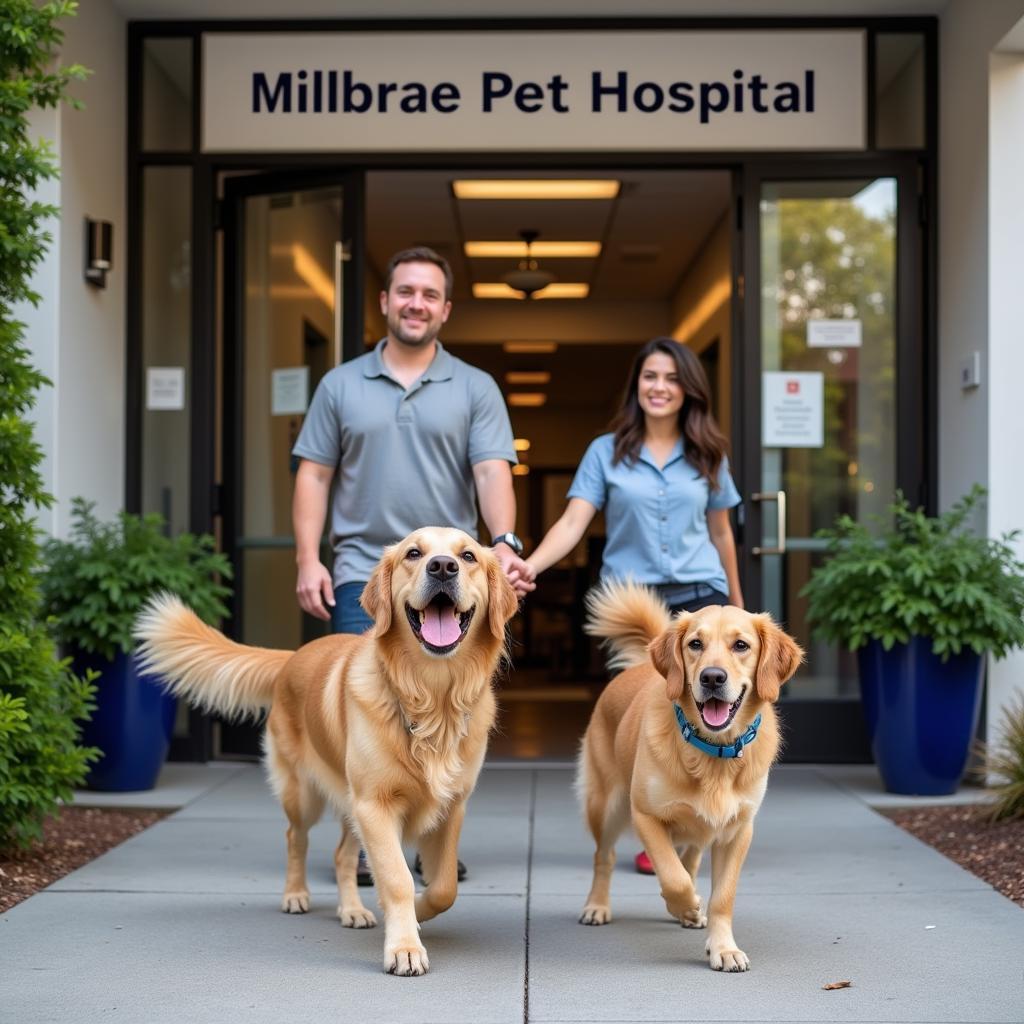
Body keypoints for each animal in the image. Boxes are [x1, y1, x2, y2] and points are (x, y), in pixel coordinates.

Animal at [134, 528, 520, 974]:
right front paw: (404, 946)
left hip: (351, 804)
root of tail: (292, 656)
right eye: (414, 553)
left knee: (341, 856)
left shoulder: (450, 805)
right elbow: (397, 878)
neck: (431, 696)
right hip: (305, 795)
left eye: (468, 556)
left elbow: (444, 886)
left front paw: (420, 911)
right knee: (294, 837)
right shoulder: (375, 804)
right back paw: (295, 895)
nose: (443, 567)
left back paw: (352, 910)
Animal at [577, 581, 798, 970]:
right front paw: (686, 904)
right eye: (695, 643)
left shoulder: (738, 831)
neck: (713, 752)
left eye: (741, 645)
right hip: (606, 806)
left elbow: (721, 895)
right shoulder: (645, 816)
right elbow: (672, 875)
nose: (712, 677)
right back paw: (597, 906)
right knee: (604, 858)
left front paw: (723, 947)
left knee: (691, 858)